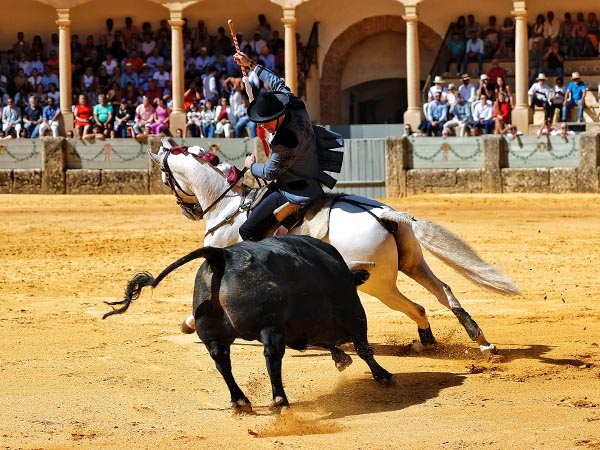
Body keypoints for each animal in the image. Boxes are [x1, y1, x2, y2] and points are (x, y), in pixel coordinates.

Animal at [105, 234, 392, 414]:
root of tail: (220, 254)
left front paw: (341, 358)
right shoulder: (354, 313)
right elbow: (363, 347)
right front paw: (382, 375)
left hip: (214, 336)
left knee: (221, 362)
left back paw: (241, 401)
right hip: (271, 327)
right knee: (272, 357)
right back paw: (280, 400)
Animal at [149, 144, 516, 358]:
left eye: (166, 179)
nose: (189, 212)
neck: (229, 206)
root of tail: (385, 214)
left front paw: (189, 324)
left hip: (378, 284)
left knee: (414, 305)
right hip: (413, 265)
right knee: (441, 293)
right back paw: (477, 341)